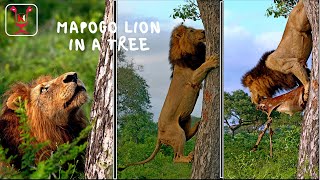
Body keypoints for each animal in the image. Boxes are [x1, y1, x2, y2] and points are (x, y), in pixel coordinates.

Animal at [119, 24, 219, 171]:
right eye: (191, 30)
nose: (203, 31)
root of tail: (159, 136)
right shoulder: (192, 79)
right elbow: (202, 68)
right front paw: (212, 60)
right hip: (177, 133)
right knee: (176, 158)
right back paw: (188, 157)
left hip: (185, 118)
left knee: (188, 135)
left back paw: (198, 124)